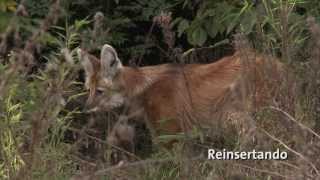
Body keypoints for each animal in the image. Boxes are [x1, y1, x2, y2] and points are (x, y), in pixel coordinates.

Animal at [77, 44, 284, 136]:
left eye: (100, 91)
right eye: (89, 90)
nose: (85, 110)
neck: (142, 90)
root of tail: (281, 64)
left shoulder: (171, 135)